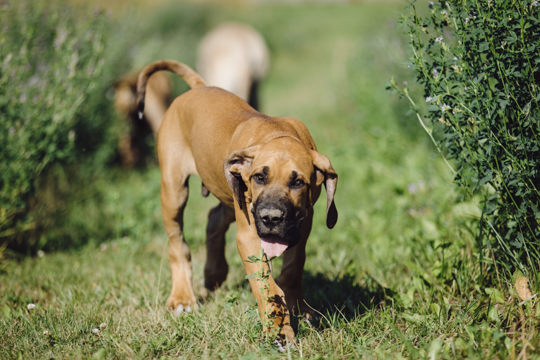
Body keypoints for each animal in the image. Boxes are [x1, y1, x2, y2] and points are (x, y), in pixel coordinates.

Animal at [137, 60, 336, 344]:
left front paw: (300, 308)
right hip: (175, 191)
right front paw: (279, 331)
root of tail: (198, 87)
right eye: (259, 177)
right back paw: (183, 298)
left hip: (230, 194)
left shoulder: (302, 223)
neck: (277, 135)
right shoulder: (250, 235)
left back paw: (214, 272)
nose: (271, 218)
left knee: (215, 217)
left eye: (298, 182)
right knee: (178, 243)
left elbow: (293, 268)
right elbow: (266, 287)